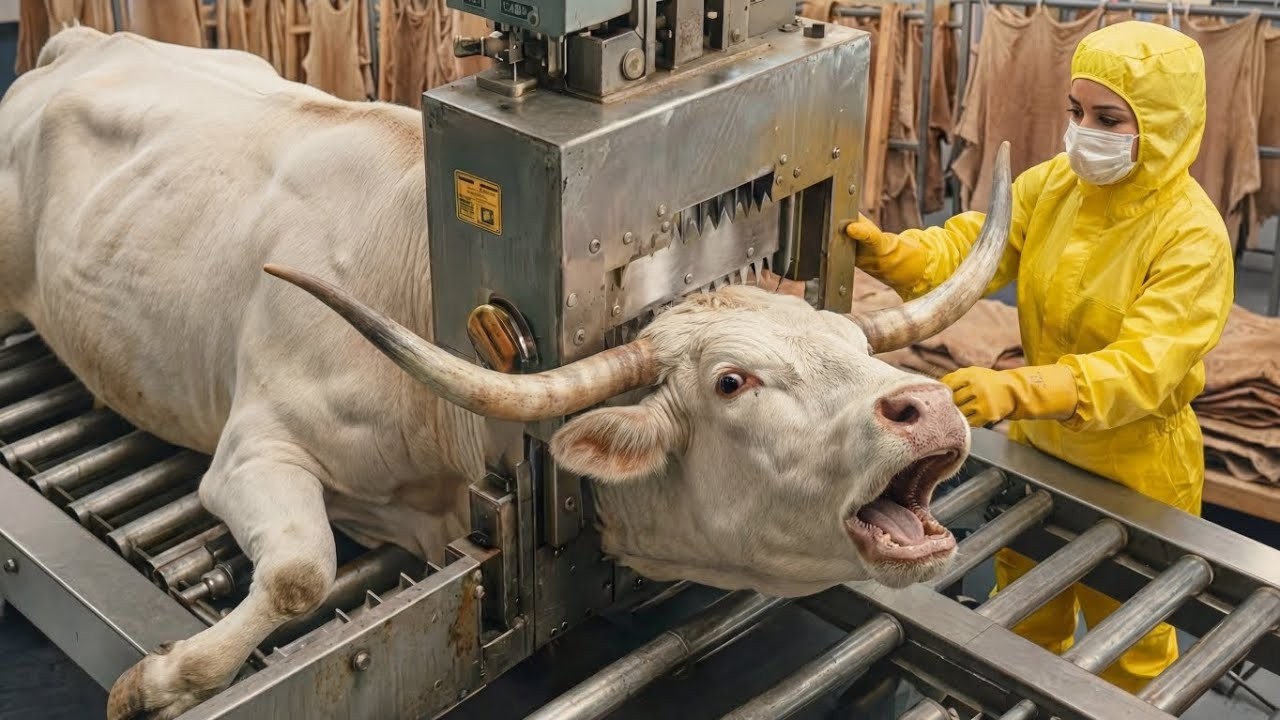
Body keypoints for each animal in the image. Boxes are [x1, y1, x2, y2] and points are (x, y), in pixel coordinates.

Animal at [0, 26, 1011, 720]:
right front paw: (158, 680)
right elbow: (297, 578)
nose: (927, 408)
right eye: (733, 383)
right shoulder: (254, 447)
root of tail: (80, 39)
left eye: (853, 348)